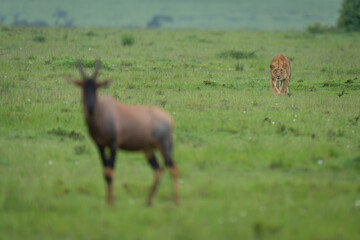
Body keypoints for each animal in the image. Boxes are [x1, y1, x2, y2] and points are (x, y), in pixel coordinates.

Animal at [70, 59, 179, 204]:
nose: (90, 109)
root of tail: (169, 119)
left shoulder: (114, 144)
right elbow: (106, 172)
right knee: (158, 169)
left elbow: (111, 172)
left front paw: (111, 203)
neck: (104, 111)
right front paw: (107, 202)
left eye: (97, 87)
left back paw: (175, 202)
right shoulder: (100, 146)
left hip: (163, 146)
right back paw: (148, 202)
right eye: (82, 87)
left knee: (173, 168)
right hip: (148, 149)